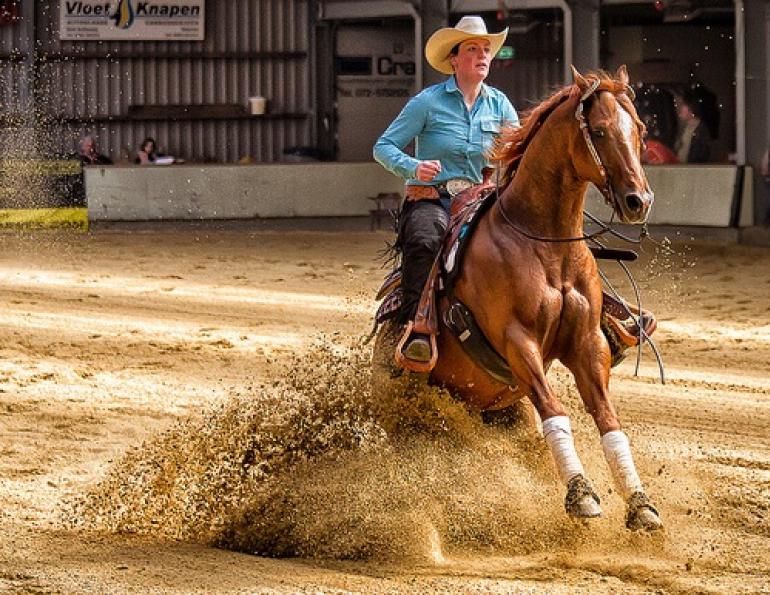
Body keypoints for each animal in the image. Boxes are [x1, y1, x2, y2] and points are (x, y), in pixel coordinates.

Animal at [374, 66, 662, 532]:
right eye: (599, 131)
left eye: (639, 129)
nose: (639, 201)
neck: (544, 242)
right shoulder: (518, 341)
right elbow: (554, 410)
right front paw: (581, 495)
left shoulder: (587, 345)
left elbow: (608, 420)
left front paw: (640, 502)